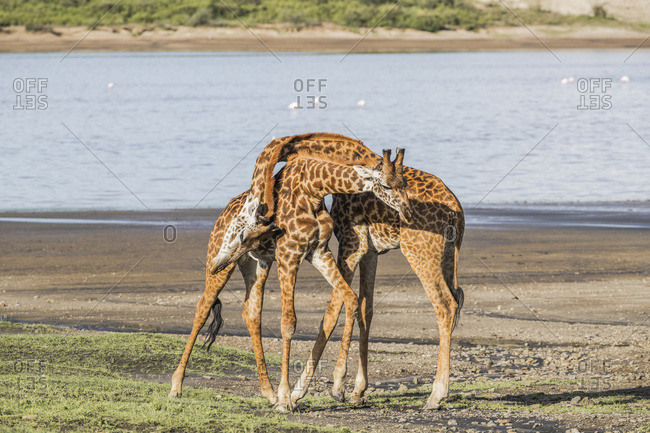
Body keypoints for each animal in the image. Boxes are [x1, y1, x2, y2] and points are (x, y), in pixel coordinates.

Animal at [169, 149, 413, 411]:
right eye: (386, 185)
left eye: (404, 183)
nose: (408, 210)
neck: (315, 190)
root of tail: (221, 215)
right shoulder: (288, 255)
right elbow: (288, 322)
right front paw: (286, 398)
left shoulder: (318, 252)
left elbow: (351, 299)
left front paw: (337, 388)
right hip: (220, 263)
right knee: (203, 308)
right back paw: (176, 387)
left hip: (256, 264)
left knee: (251, 313)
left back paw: (268, 392)